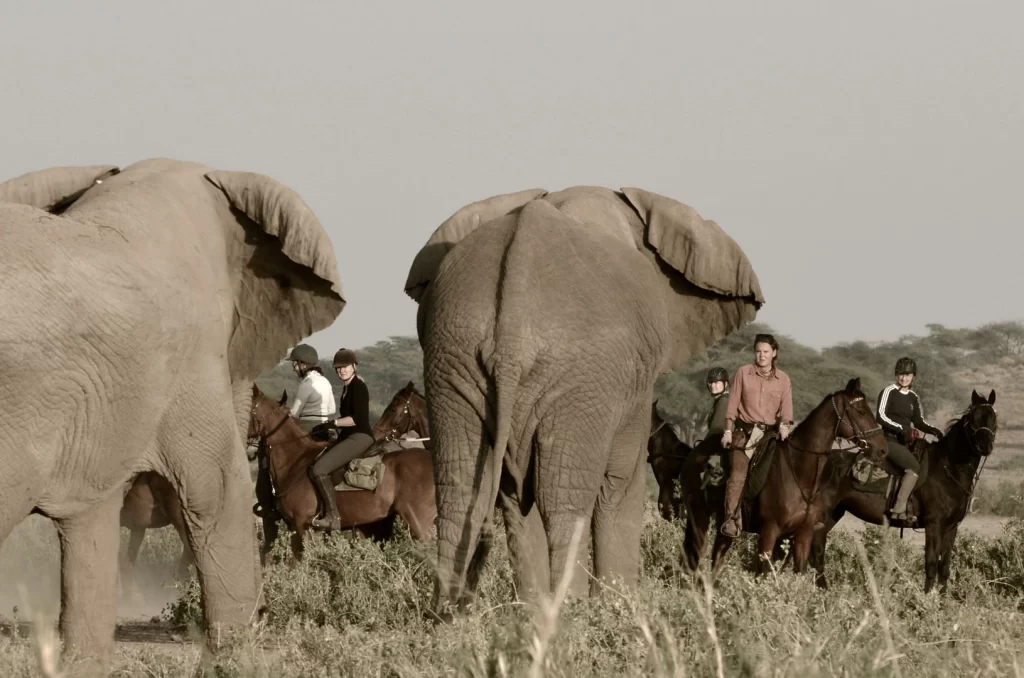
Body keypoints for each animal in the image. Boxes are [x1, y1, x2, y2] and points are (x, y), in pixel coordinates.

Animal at [0, 159, 344, 665]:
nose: (265, 618)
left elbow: (94, 521)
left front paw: (82, 664)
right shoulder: (189, 362)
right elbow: (217, 493)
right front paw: (238, 656)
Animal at [404, 186, 763, 615]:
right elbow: (619, 483)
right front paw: (620, 609)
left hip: (454, 355)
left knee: (470, 493)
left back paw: (470, 615)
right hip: (578, 379)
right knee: (562, 499)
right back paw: (567, 611)